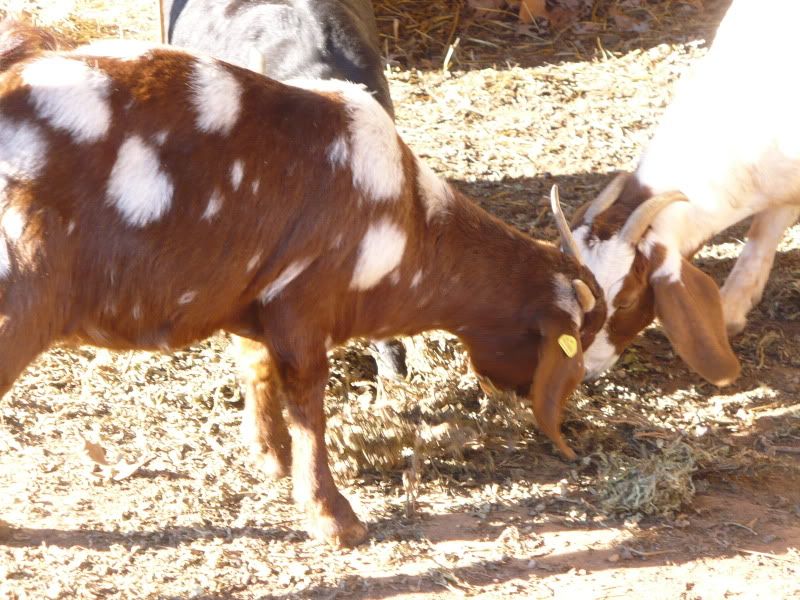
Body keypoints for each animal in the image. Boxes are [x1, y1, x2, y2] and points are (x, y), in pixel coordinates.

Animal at [0, 21, 605, 546]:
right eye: (571, 344)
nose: (558, 412)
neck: (409, 216)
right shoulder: (304, 301)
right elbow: (309, 402)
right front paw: (335, 519)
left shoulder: (255, 294)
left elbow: (257, 368)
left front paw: (272, 458)